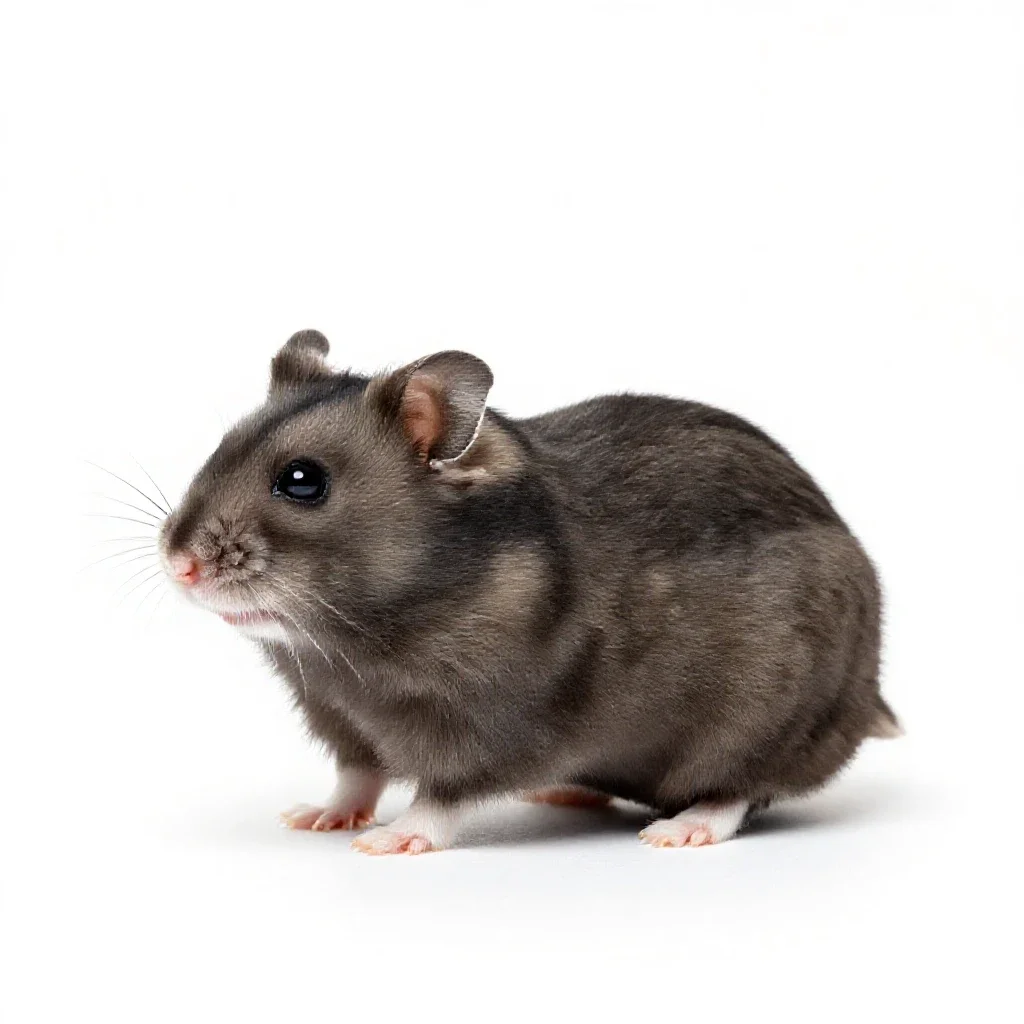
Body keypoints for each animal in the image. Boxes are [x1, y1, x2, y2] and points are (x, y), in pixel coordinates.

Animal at [159, 329, 900, 854]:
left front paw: (385, 842)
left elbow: (442, 796)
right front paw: (312, 818)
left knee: (739, 787)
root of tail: (869, 698)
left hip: (769, 718)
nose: (177, 566)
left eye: (302, 480)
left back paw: (676, 830)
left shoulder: (489, 725)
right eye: (220, 449)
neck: (352, 644)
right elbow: (357, 774)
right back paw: (565, 796)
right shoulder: (339, 717)